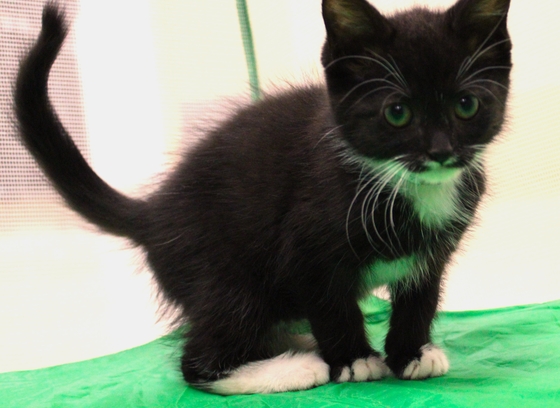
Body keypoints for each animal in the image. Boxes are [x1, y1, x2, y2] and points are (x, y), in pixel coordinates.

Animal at [14, 0, 512, 396]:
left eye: (466, 105)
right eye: (397, 113)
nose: (441, 151)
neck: (402, 181)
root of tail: (154, 213)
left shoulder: (433, 253)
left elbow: (420, 296)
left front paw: (410, 353)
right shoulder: (305, 246)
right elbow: (331, 304)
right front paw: (353, 358)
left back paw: (293, 343)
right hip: (226, 276)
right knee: (199, 358)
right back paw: (294, 366)